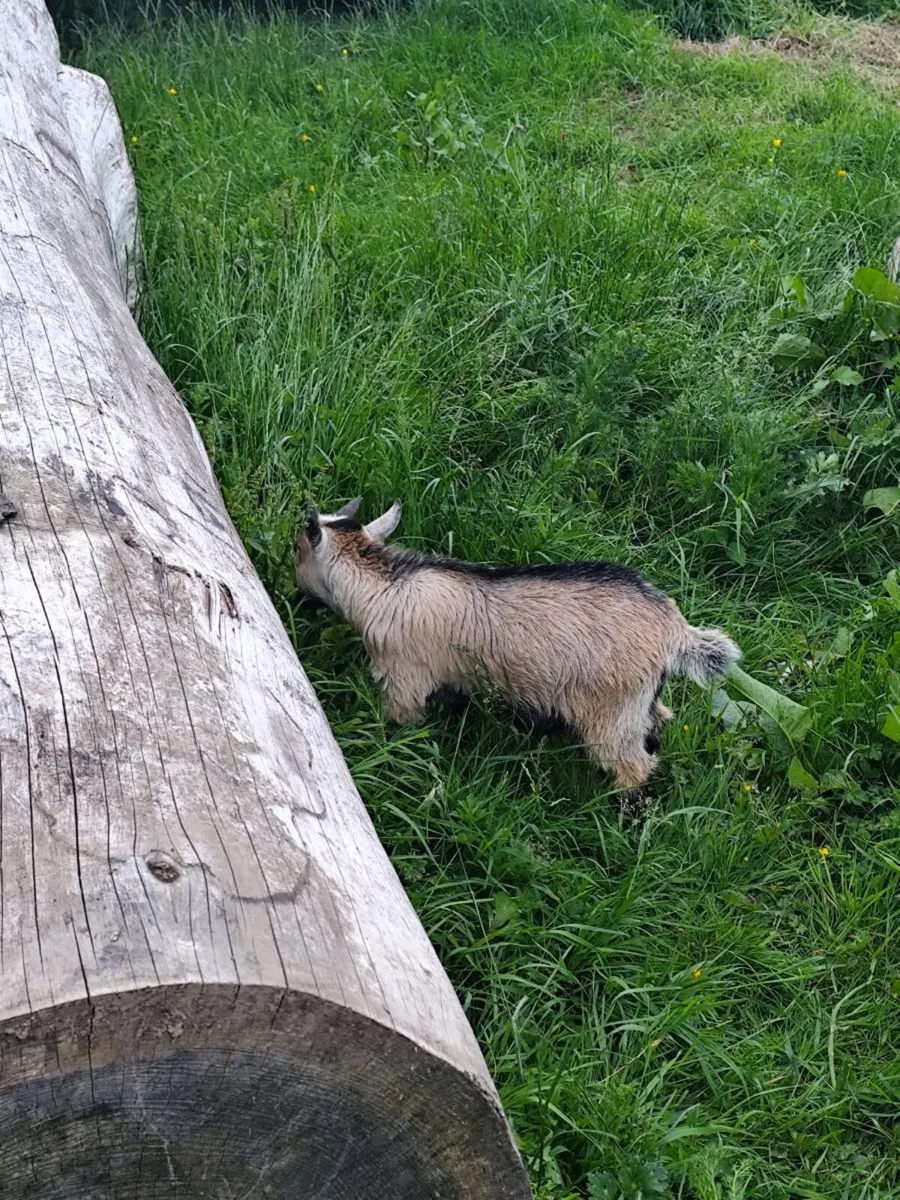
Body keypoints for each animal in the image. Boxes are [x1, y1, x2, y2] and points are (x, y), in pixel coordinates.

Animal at [295, 499, 740, 788]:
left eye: (297, 548)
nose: (296, 594)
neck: (385, 584)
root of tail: (673, 628)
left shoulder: (404, 677)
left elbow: (401, 719)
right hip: (640, 700)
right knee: (658, 719)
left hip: (611, 711)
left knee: (631, 764)